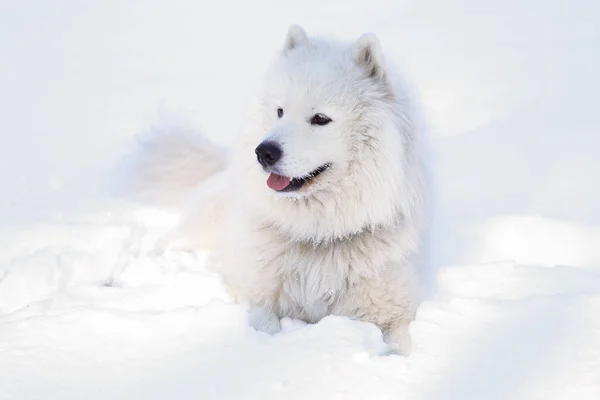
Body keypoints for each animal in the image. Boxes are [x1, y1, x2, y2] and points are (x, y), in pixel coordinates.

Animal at [125, 25, 432, 354]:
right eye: (280, 111)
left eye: (320, 119)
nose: (264, 152)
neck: (318, 235)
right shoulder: (258, 294)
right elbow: (265, 323)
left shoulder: (395, 308)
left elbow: (401, 343)